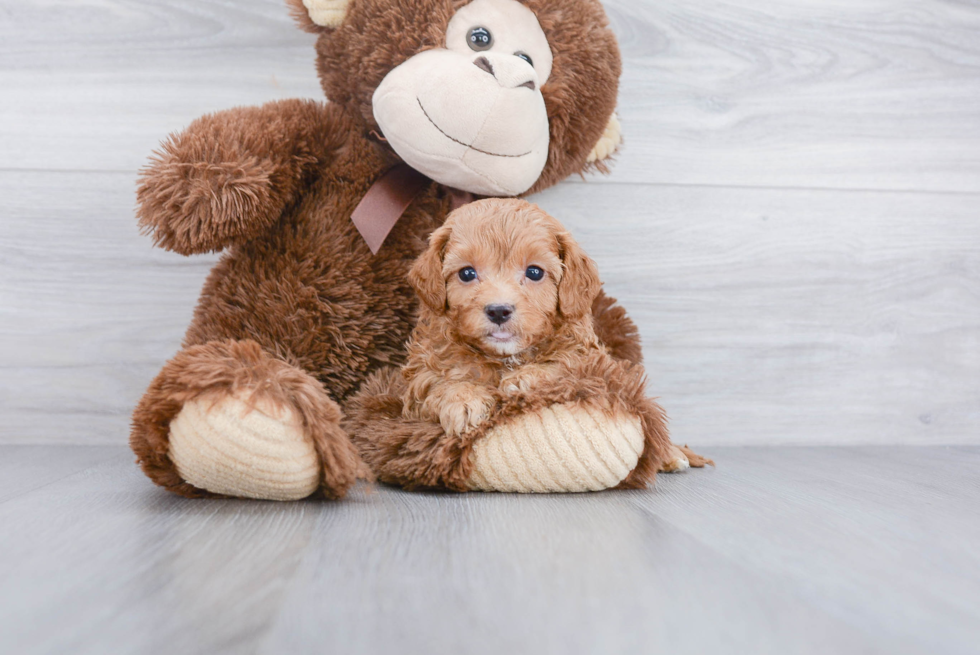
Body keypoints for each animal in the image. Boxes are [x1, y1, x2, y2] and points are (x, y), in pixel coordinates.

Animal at [398, 197, 612, 438]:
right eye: (467, 273)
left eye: (534, 272)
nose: (499, 311)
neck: (505, 358)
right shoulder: (421, 377)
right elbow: (437, 384)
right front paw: (463, 400)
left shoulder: (592, 360)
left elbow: (566, 364)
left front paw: (525, 378)